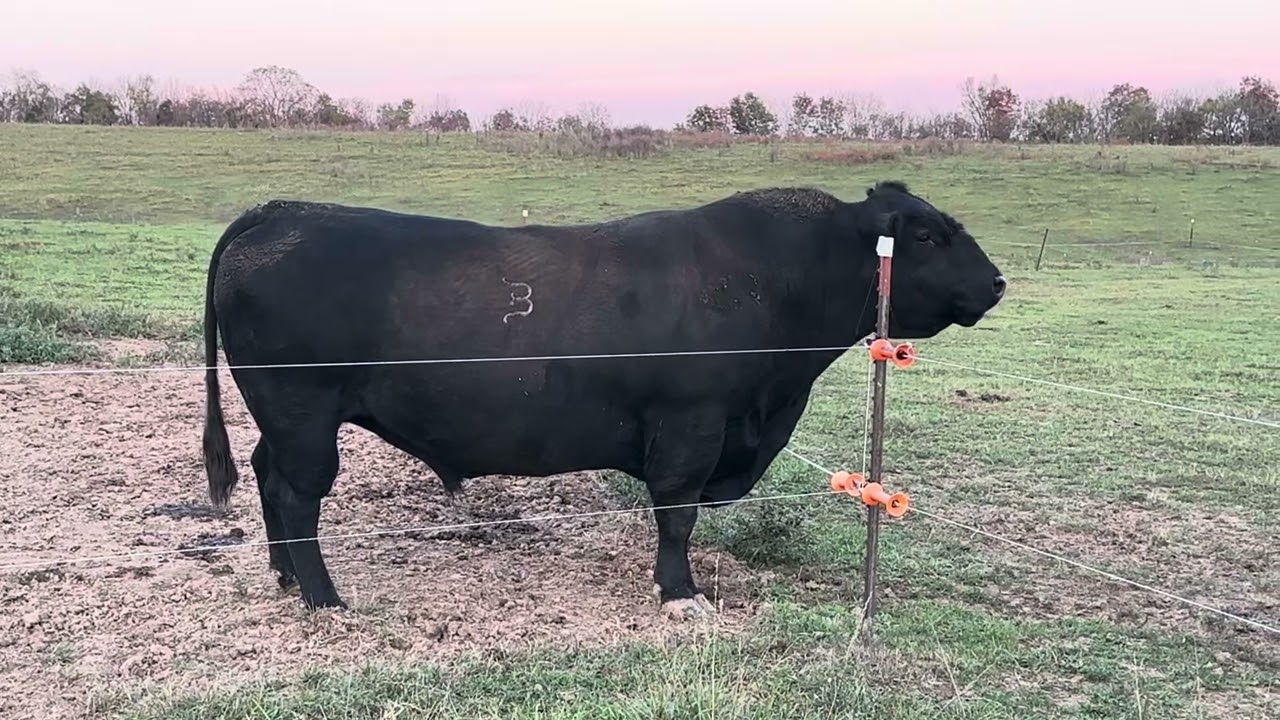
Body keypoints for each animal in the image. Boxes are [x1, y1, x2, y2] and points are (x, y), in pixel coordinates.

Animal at [200, 180, 1006, 619]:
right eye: (927, 235)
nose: (997, 281)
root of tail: (278, 210)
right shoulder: (691, 424)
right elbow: (676, 514)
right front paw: (680, 593)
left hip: (286, 417)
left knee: (267, 474)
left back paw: (283, 575)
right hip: (305, 414)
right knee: (297, 493)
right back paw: (323, 596)